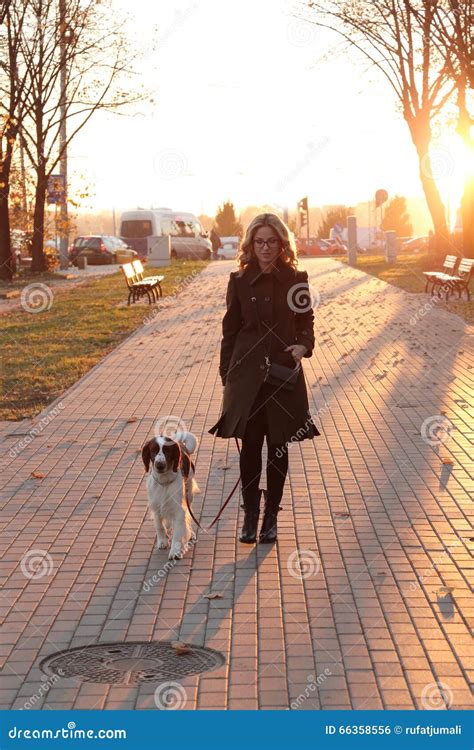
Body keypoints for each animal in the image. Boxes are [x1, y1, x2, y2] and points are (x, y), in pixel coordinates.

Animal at [142, 432, 199, 560]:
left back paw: (190, 533)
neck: (164, 482)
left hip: (189, 494)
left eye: (168, 451)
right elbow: (159, 525)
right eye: (153, 450)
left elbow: (178, 531)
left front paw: (175, 551)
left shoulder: (179, 509)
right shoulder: (155, 506)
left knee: (188, 517)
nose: (160, 465)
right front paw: (162, 541)